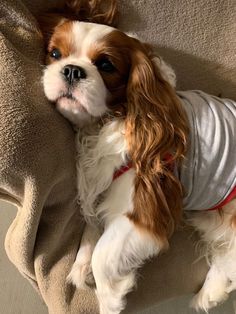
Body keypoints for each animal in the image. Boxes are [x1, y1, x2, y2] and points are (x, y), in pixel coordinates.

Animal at [39, 1, 236, 312]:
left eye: (106, 65)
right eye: (56, 53)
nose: (71, 70)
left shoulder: (146, 208)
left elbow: (103, 255)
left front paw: (109, 299)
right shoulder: (102, 183)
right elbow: (92, 224)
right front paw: (81, 264)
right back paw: (209, 294)